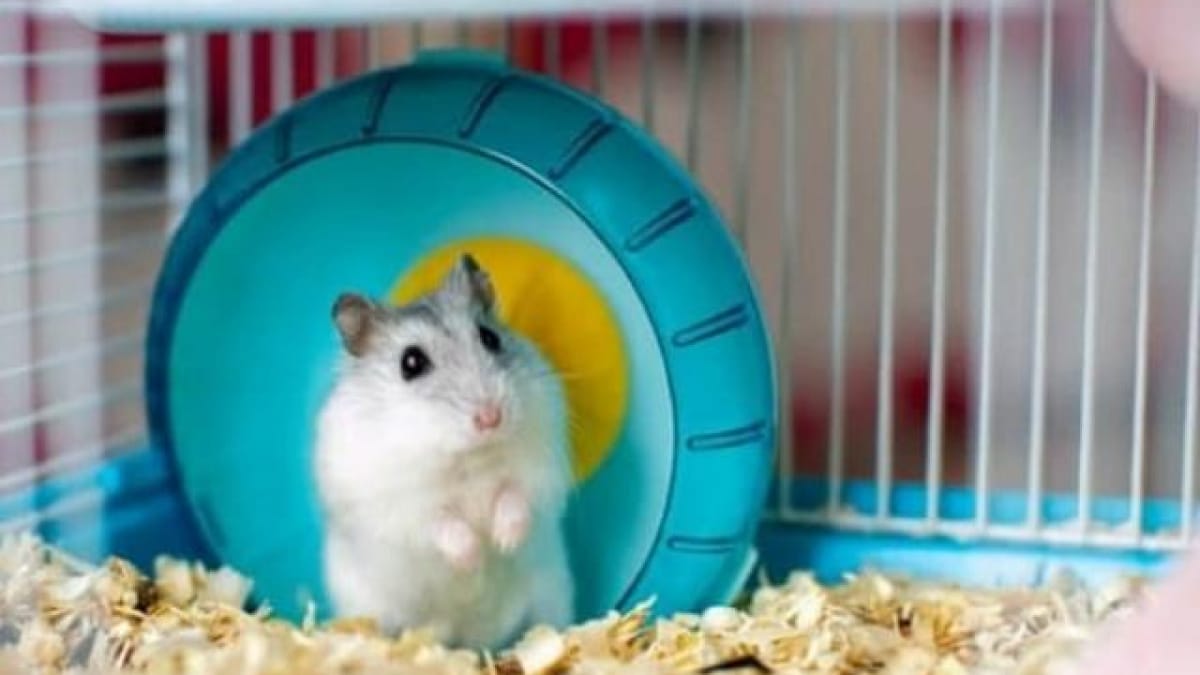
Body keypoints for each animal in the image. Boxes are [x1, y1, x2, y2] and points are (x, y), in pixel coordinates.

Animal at [313, 253, 575, 649]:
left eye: (490, 338)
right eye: (411, 362)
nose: (491, 418)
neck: (468, 457)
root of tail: (474, 642)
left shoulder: (538, 470)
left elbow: (514, 495)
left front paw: (504, 541)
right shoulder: (399, 509)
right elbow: (441, 522)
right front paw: (474, 558)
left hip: (552, 593)